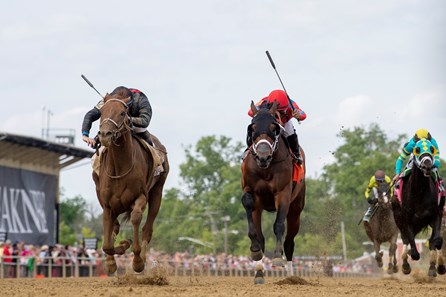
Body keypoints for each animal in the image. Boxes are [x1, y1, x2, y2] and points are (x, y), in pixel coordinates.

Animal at [93, 91, 169, 272]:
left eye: (122, 113)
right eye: (101, 112)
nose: (104, 135)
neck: (120, 167)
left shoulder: (140, 197)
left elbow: (135, 218)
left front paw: (137, 260)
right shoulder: (107, 204)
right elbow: (107, 244)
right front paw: (114, 257)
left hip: (157, 192)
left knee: (147, 228)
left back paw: (142, 257)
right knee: (115, 225)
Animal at [242, 100, 304, 284]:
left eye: (273, 126)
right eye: (253, 127)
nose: (263, 155)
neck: (266, 168)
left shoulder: (283, 194)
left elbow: (278, 225)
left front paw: (277, 257)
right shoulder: (252, 192)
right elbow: (254, 228)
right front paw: (255, 252)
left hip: (296, 210)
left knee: (289, 242)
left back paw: (291, 276)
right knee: (262, 237)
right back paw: (259, 272)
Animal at [392, 138, 444, 276]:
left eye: (432, 149)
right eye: (417, 149)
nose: (427, 165)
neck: (419, 192)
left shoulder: (436, 215)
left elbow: (436, 241)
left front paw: (439, 267)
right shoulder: (408, 221)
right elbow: (414, 252)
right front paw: (408, 260)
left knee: (432, 241)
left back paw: (434, 268)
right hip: (399, 219)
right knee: (405, 239)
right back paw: (405, 265)